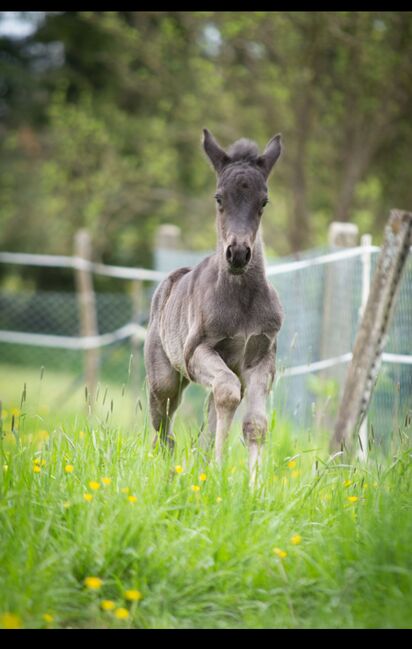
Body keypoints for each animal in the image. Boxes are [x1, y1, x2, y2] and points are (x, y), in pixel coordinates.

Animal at [144, 128, 284, 480]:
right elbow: (226, 393)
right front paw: (219, 471)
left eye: (264, 201)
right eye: (219, 198)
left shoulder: (261, 359)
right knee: (162, 428)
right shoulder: (198, 351)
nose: (238, 253)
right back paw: (167, 469)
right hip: (164, 380)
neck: (243, 300)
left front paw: (253, 484)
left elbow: (255, 423)